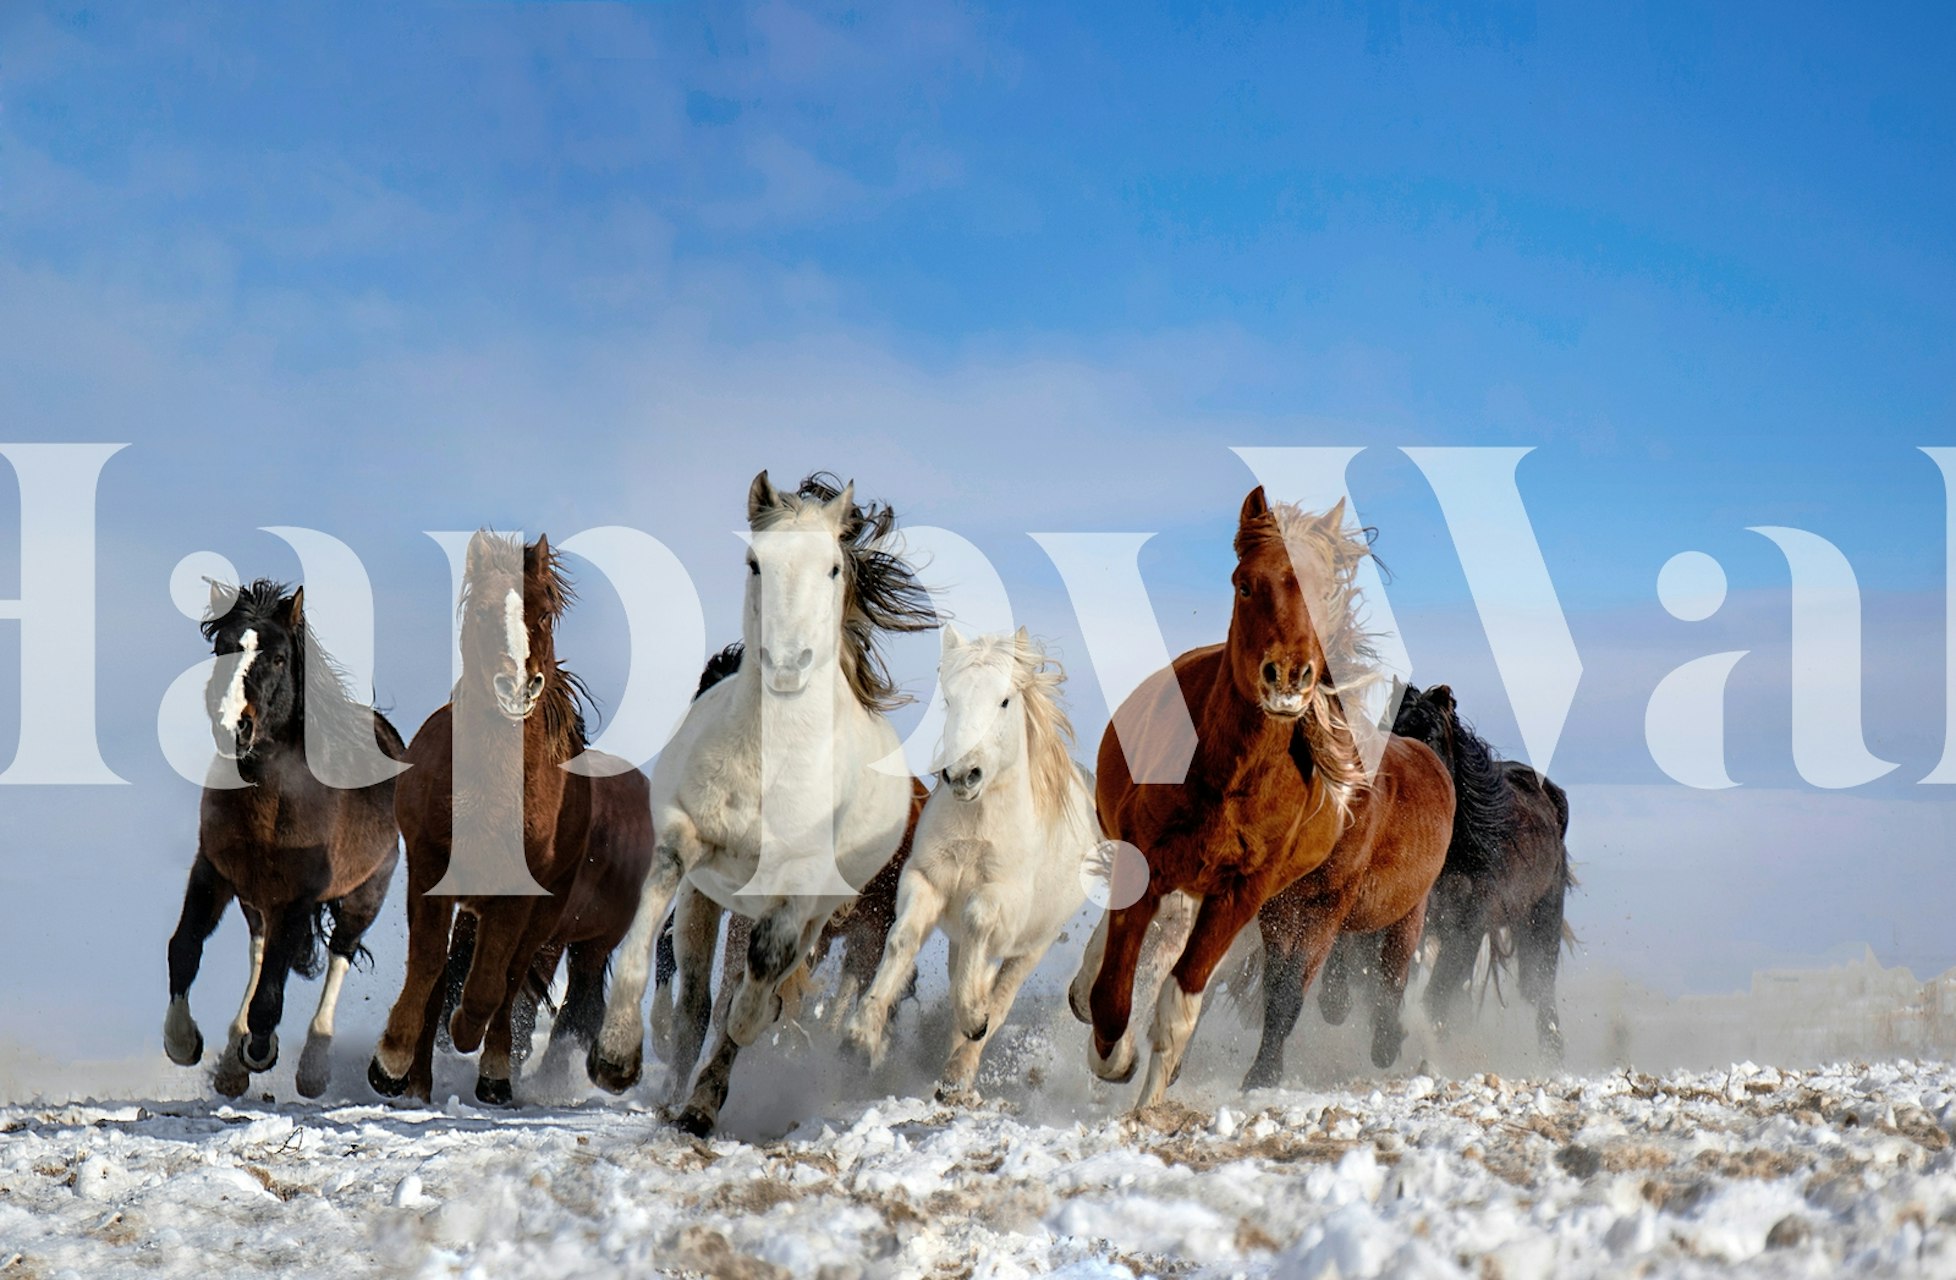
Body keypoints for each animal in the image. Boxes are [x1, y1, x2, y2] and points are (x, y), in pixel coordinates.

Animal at [163, 580, 406, 1099]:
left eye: (277, 658)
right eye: (222, 648)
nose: (234, 726)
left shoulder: (299, 895)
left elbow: (271, 993)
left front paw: (261, 1049)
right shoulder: (212, 872)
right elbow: (185, 948)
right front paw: (184, 1042)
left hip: (365, 894)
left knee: (339, 955)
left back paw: (311, 1069)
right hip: (255, 899)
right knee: (259, 950)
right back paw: (232, 1062)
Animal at [366, 532, 654, 1105]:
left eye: (542, 614)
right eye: (480, 612)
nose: (517, 685)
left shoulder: (518, 899)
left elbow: (490, 982)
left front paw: (470, 1039)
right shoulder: (430, 870)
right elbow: (428, 966)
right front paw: (391, 1063)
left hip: (553, 920)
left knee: (512, 976)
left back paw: (494, 1070)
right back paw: (420, 1081)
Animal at [589, 471, 936, 1137]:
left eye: (832, 566)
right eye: (755, 562)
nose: (787, 662)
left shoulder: (799, 893)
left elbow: (758, 987)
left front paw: (741, 1044)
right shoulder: (686, 842)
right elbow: (650, 934)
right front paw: (615, 1057)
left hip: (822, 916)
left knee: (746, 990)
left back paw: (702, 1103)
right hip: (709, 900)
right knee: (695, 1002)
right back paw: (675, 1097)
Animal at [844, 626, 1100, 1097]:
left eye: (1004, 701)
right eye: (949, 698)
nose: (964, 775)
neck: (975, 829)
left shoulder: (1001, 900)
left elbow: (979, 923)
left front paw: (973, 1016)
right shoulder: (924, 881)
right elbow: (903, 939)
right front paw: (861, 1035)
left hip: (1032, 946)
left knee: (1002, 997)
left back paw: (961, 1069)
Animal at [1069, 489, 1451, 1108]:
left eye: (1324, 592)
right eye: (1246, 584)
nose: (1288, 677)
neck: (1229, 781)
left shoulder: (1245, 896)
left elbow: (1181, 1003)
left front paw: (1149, 1103)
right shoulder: (1146, 864)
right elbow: (1116, 991)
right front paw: (1115, 1058)